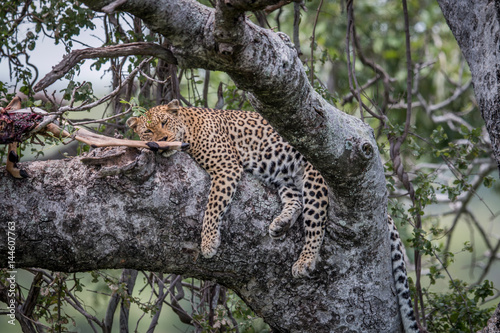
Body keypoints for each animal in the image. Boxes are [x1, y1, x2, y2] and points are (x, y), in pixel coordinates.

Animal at [126, 99, 328, 278]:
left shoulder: (226, 166)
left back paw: (305, 261)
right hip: (286, 178)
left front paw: (208, 241)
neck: (189, 129)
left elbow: (213, 206)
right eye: (148, 131)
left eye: (165, 122)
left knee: (316, 223)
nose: (163, 140)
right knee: (296, 200)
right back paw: (281, 224)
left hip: (315, 177)